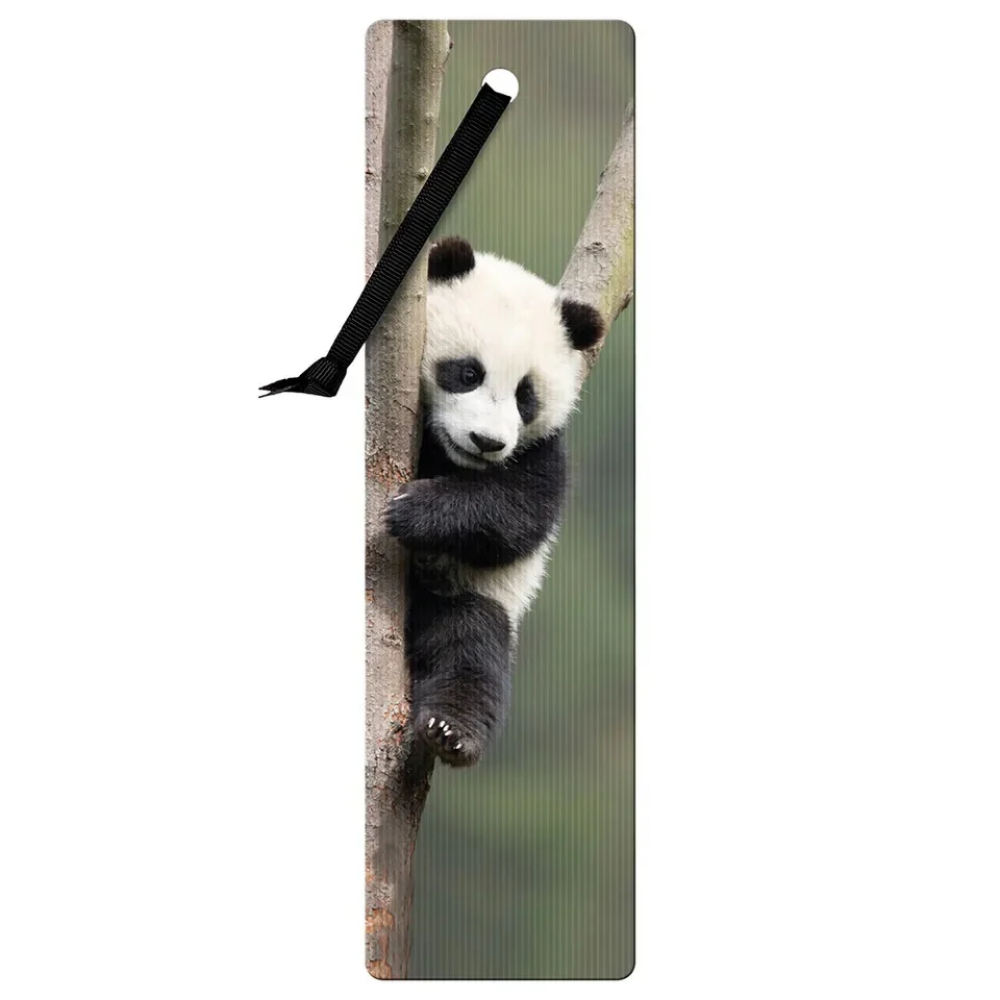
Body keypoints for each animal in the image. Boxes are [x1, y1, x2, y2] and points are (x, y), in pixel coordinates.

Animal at [386, 236, 605, 767]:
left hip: (471, 596)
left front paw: (413, 510)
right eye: (468, 372)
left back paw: (450, 731)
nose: (486, 442)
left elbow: (518, 513)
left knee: (470, 647)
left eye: (526, 396)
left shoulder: (543, 449)